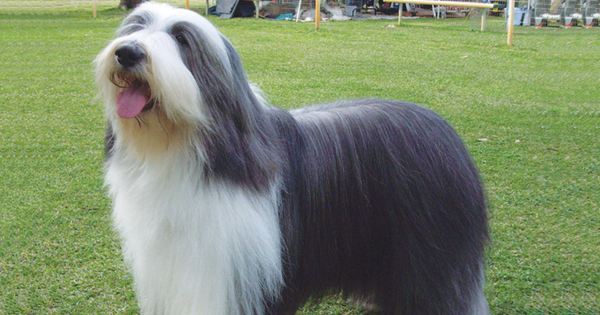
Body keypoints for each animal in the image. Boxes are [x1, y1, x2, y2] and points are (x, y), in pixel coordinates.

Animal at [96, 1, 490, 314]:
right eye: (134, 27)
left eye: (181, 39)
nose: (127, 52)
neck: (179, 147)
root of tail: (446, 131)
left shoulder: (239, 276)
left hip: (431, 253)